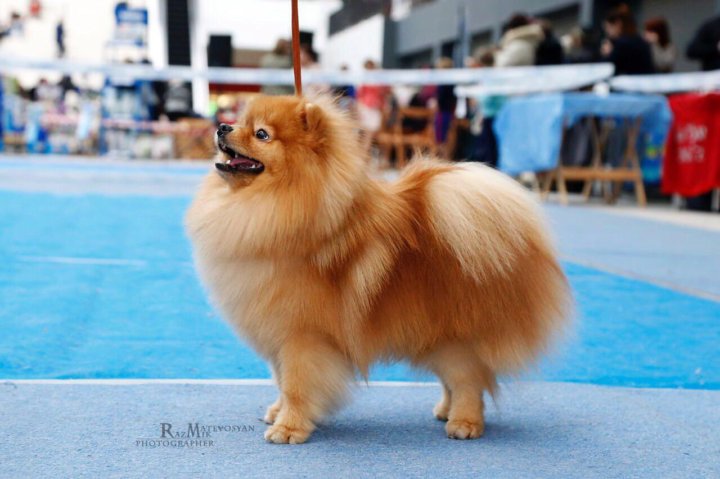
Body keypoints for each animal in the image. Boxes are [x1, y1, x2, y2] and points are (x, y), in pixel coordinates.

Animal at [186, 94, 571, 444]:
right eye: (238, 120)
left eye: (262, 134)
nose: (222, 127)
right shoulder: (277, 336)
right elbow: (281, 382)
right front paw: (279, 413)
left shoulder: (302, 337)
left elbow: (295, 385)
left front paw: (289, 428)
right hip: (435, 339)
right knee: (458, 379)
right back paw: (444, 411)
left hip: (455, 339)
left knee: (470, 381)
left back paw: (464, 423)